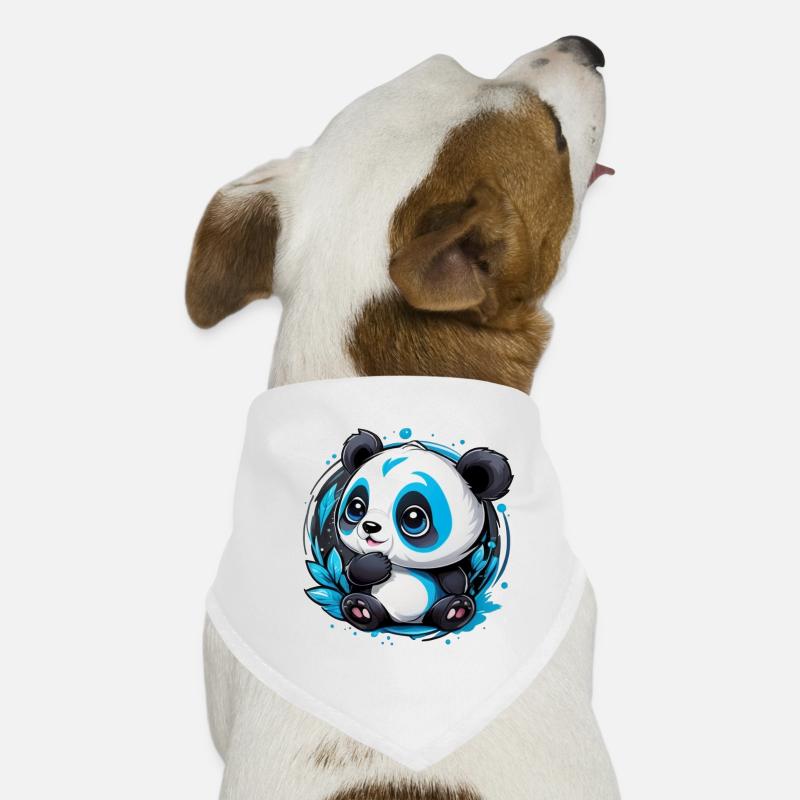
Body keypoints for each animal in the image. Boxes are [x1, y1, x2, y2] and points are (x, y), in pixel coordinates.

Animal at [335, 429, 513, 632]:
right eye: (356, 508)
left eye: (413, 518)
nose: (370, 526)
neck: (402, 566)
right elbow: (353, 571)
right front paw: (376, 563)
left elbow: (457, 580)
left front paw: (453, 578)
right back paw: (360, 608)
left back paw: (455, 610)